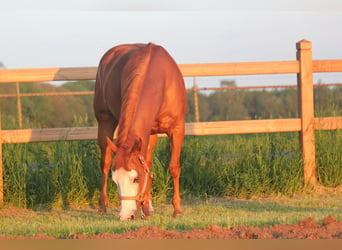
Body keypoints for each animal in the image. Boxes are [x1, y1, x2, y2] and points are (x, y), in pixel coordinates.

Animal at [93, 43, 187, 221]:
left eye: (136, 178)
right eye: (115, 181)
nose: (126, 215)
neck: (160, 81)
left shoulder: (177, 129)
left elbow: (173, 167)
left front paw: (177, 209)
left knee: (148, 162)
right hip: (105, 123)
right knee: (105, 164)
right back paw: (103, 206)